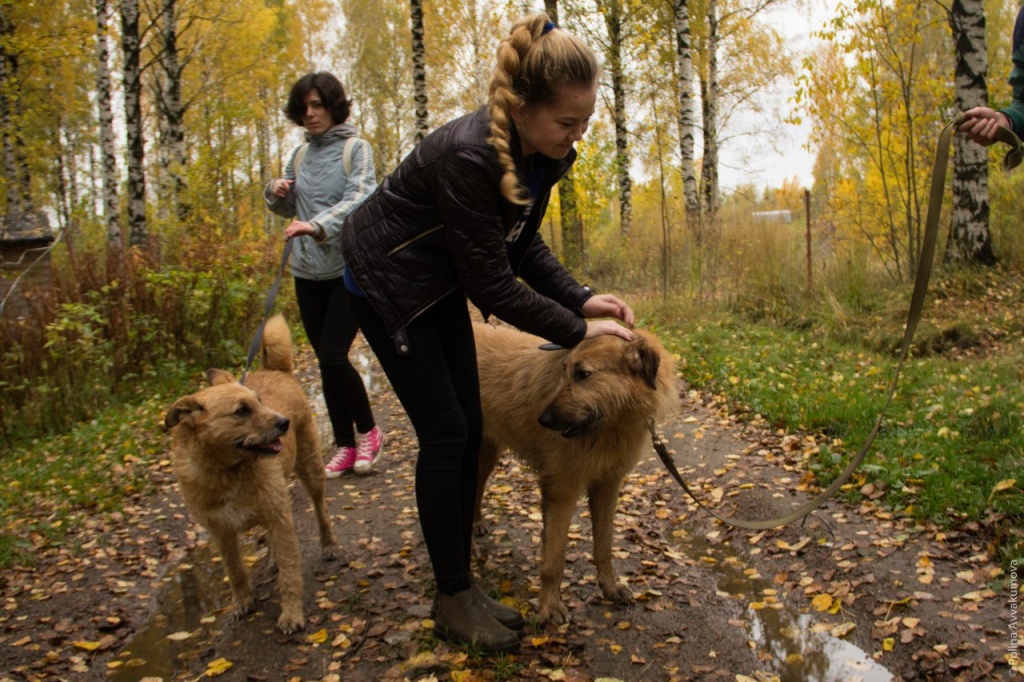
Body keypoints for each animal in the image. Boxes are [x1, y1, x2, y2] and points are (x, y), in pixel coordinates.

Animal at [163, 313, 337, 630]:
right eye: (241, 411)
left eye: (259, 401)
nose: (284, 423)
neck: (228, 471)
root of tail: (276, 370)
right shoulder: (222, 533)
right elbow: (235, 572)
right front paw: (242, 603)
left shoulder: (279, 517)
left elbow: (290, 573)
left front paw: (291, 614)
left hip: (311, 470)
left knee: (321, 510)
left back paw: (328, 544)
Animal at [473, 321, 679, 622]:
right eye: (566, 371)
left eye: (583, 375)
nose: (543, 420)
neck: (608, 427)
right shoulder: (561, 491)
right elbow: (554, 558)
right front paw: (549, 606)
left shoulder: (607, 485)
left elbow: (604, 545)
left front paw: (610, 586)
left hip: (486, 452)